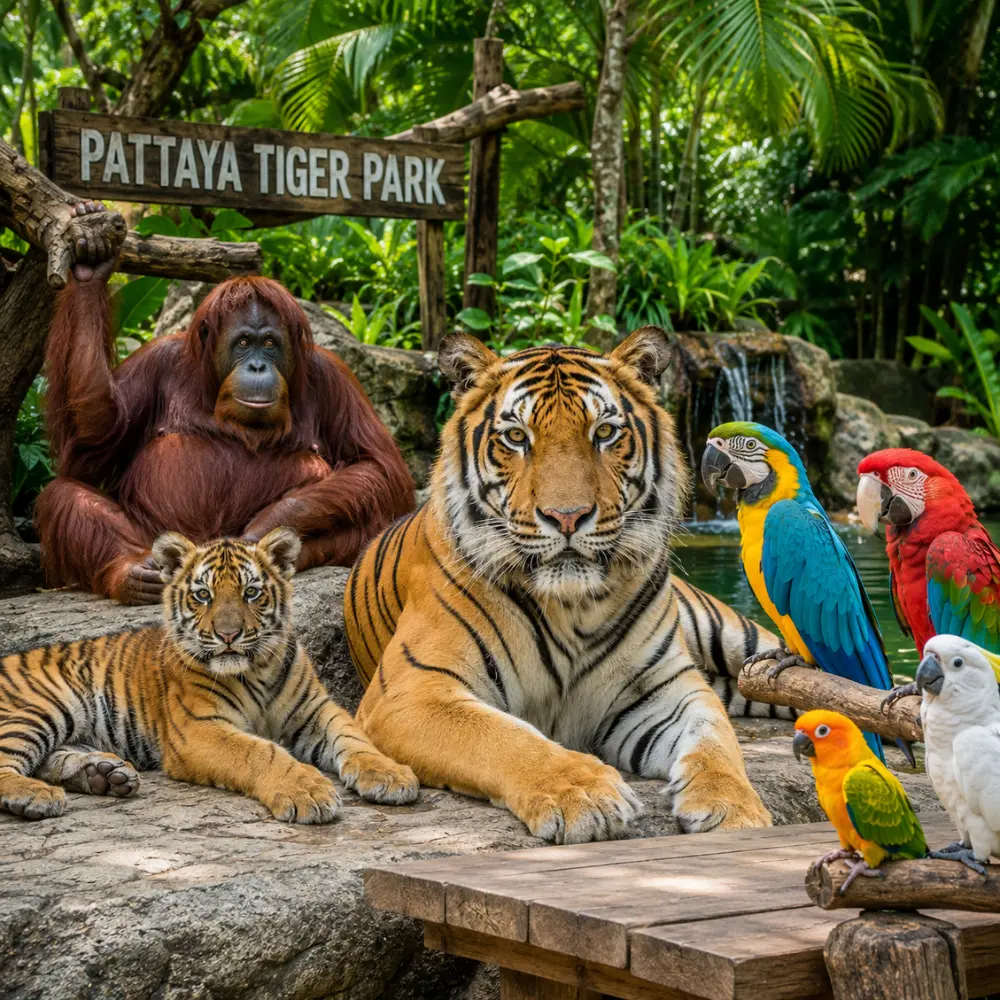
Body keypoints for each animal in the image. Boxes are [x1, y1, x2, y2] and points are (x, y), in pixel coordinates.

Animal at [0, 527, 418, 821]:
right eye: (203, 595)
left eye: (251, 593)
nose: (228, 634)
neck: (258, 670)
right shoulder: (199, 728)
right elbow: (260, 752)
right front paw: (307, 791)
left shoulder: (317, 711)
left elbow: (355, 737)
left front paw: (390, 775)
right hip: (41, 707)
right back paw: (36, 795)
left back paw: (106, 774)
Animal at [344, 327, 781, 844]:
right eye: (516, 437)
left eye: (605, 433)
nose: (567, 517)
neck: (573, 606)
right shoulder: (411, 692)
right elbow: (505, 738)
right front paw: (584, 795)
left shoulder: (666, 689)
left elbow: (715, 739)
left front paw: (734, 807)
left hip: (740, 641)